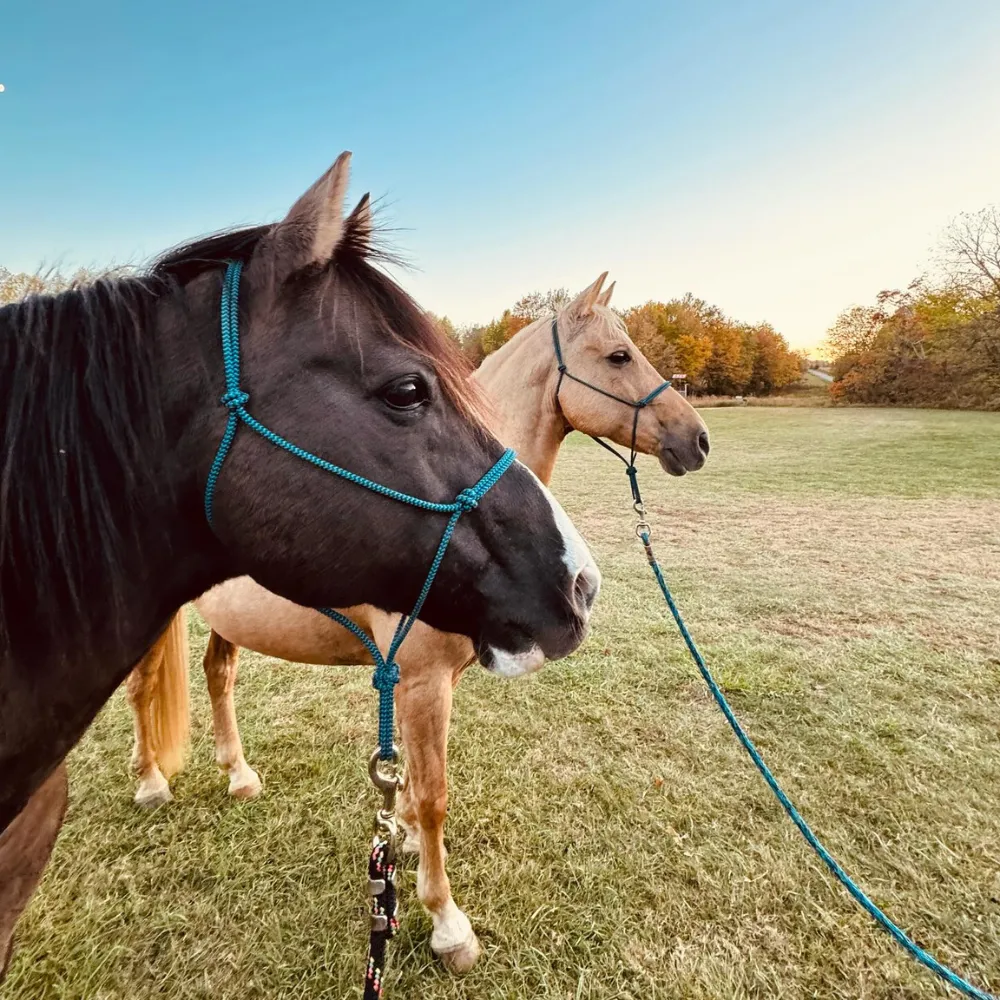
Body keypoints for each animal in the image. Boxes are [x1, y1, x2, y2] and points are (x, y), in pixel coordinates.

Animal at [125, 272, 709, 973]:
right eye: (619, 356)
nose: (698, 439)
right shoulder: (423, 679)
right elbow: (434, 797)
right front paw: (447, 922)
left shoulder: (425, 679)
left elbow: (408, 778)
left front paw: (398, 832)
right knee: (142, 690)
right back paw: (151, 782)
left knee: (218, 676)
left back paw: (238, 776)